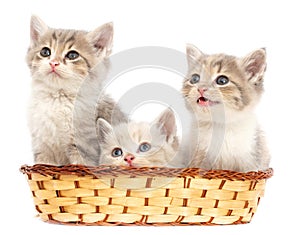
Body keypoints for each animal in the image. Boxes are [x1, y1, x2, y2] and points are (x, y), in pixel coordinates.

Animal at [27, 15, 126, 165]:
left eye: (72, 55)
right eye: (45, 52)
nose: (53, 63)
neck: (58, 98)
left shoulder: (84, 149)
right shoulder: (43, 147)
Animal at [182, 44, 270, 173]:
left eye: (222, 80)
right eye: (195, 79)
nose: (201, 88)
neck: (220, 125)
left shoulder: (252, 159)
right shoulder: (197, 158)